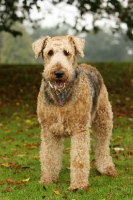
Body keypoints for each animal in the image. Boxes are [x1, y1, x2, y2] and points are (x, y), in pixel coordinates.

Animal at [31, 35, 116, 191]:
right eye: (49, 52)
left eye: (67, 52)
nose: (58, 73)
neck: (61, 95)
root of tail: (90, 66)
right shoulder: (48, 130)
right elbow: (49, 156)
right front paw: (47, 180)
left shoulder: (79, 129)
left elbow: (79, 159)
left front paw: (78, 185)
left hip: (103, 119)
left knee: (102, 145)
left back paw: (106, 169)